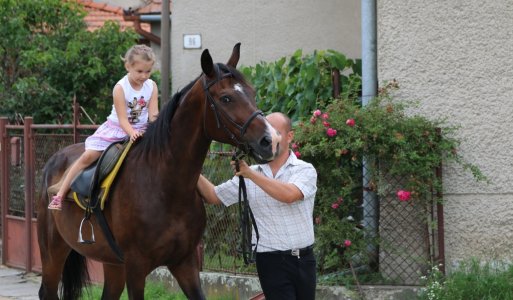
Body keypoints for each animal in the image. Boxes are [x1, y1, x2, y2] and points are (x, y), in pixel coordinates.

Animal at [37, 42, 280, 300]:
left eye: (252, 93)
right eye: (226, 98)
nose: (270, 140)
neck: (165, 184)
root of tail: (55, 160)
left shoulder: (185, 263)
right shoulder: (136, 267)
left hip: (112, 264)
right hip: (53, 251)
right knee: (47, 290)